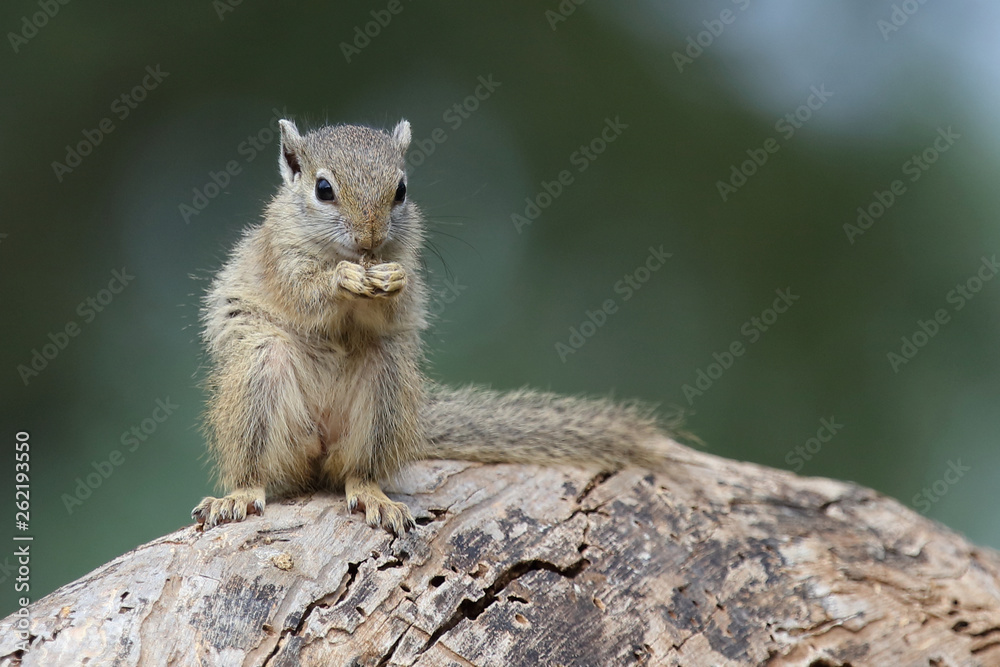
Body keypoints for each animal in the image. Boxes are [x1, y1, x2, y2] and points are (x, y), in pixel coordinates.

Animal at [192, 119, 676, 535]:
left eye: (401, 190)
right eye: (323, 189)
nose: (370, 237)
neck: (351, 255)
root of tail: (319, 446)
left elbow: (392, 304)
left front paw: (393, 281)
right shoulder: (280, 257)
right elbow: (305, 293)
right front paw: (341, 279)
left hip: (384, 387)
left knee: (356, 472)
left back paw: (374, 495)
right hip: (258, 376)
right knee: (257, 467)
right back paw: (239, 494)